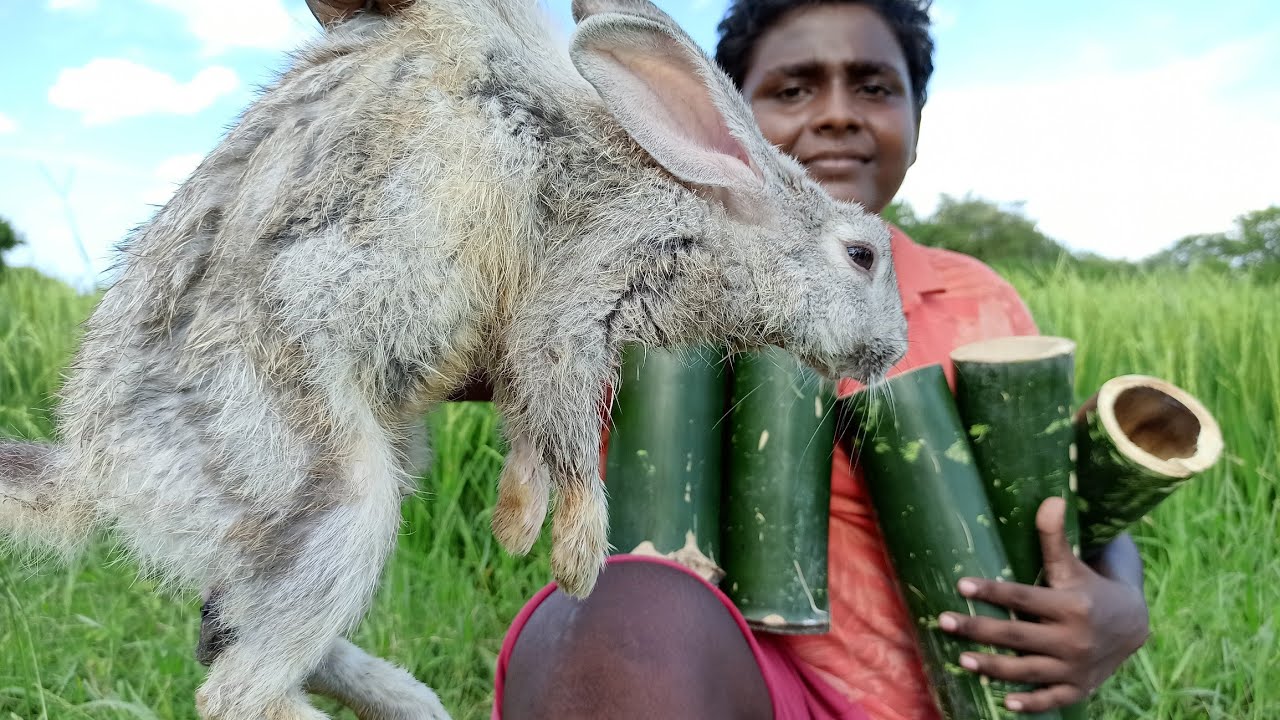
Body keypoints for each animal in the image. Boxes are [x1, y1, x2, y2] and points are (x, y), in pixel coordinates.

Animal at [0, 0, 908, 718]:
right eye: (862, 255)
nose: (895, 351)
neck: (706, 209)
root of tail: (95, 469)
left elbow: (531, 434)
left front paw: (515, 520)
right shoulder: (574, 302)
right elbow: (565, 428)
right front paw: (579, 561)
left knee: (234, 640)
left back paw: (414, 702)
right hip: (335, 493)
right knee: (238, 688)